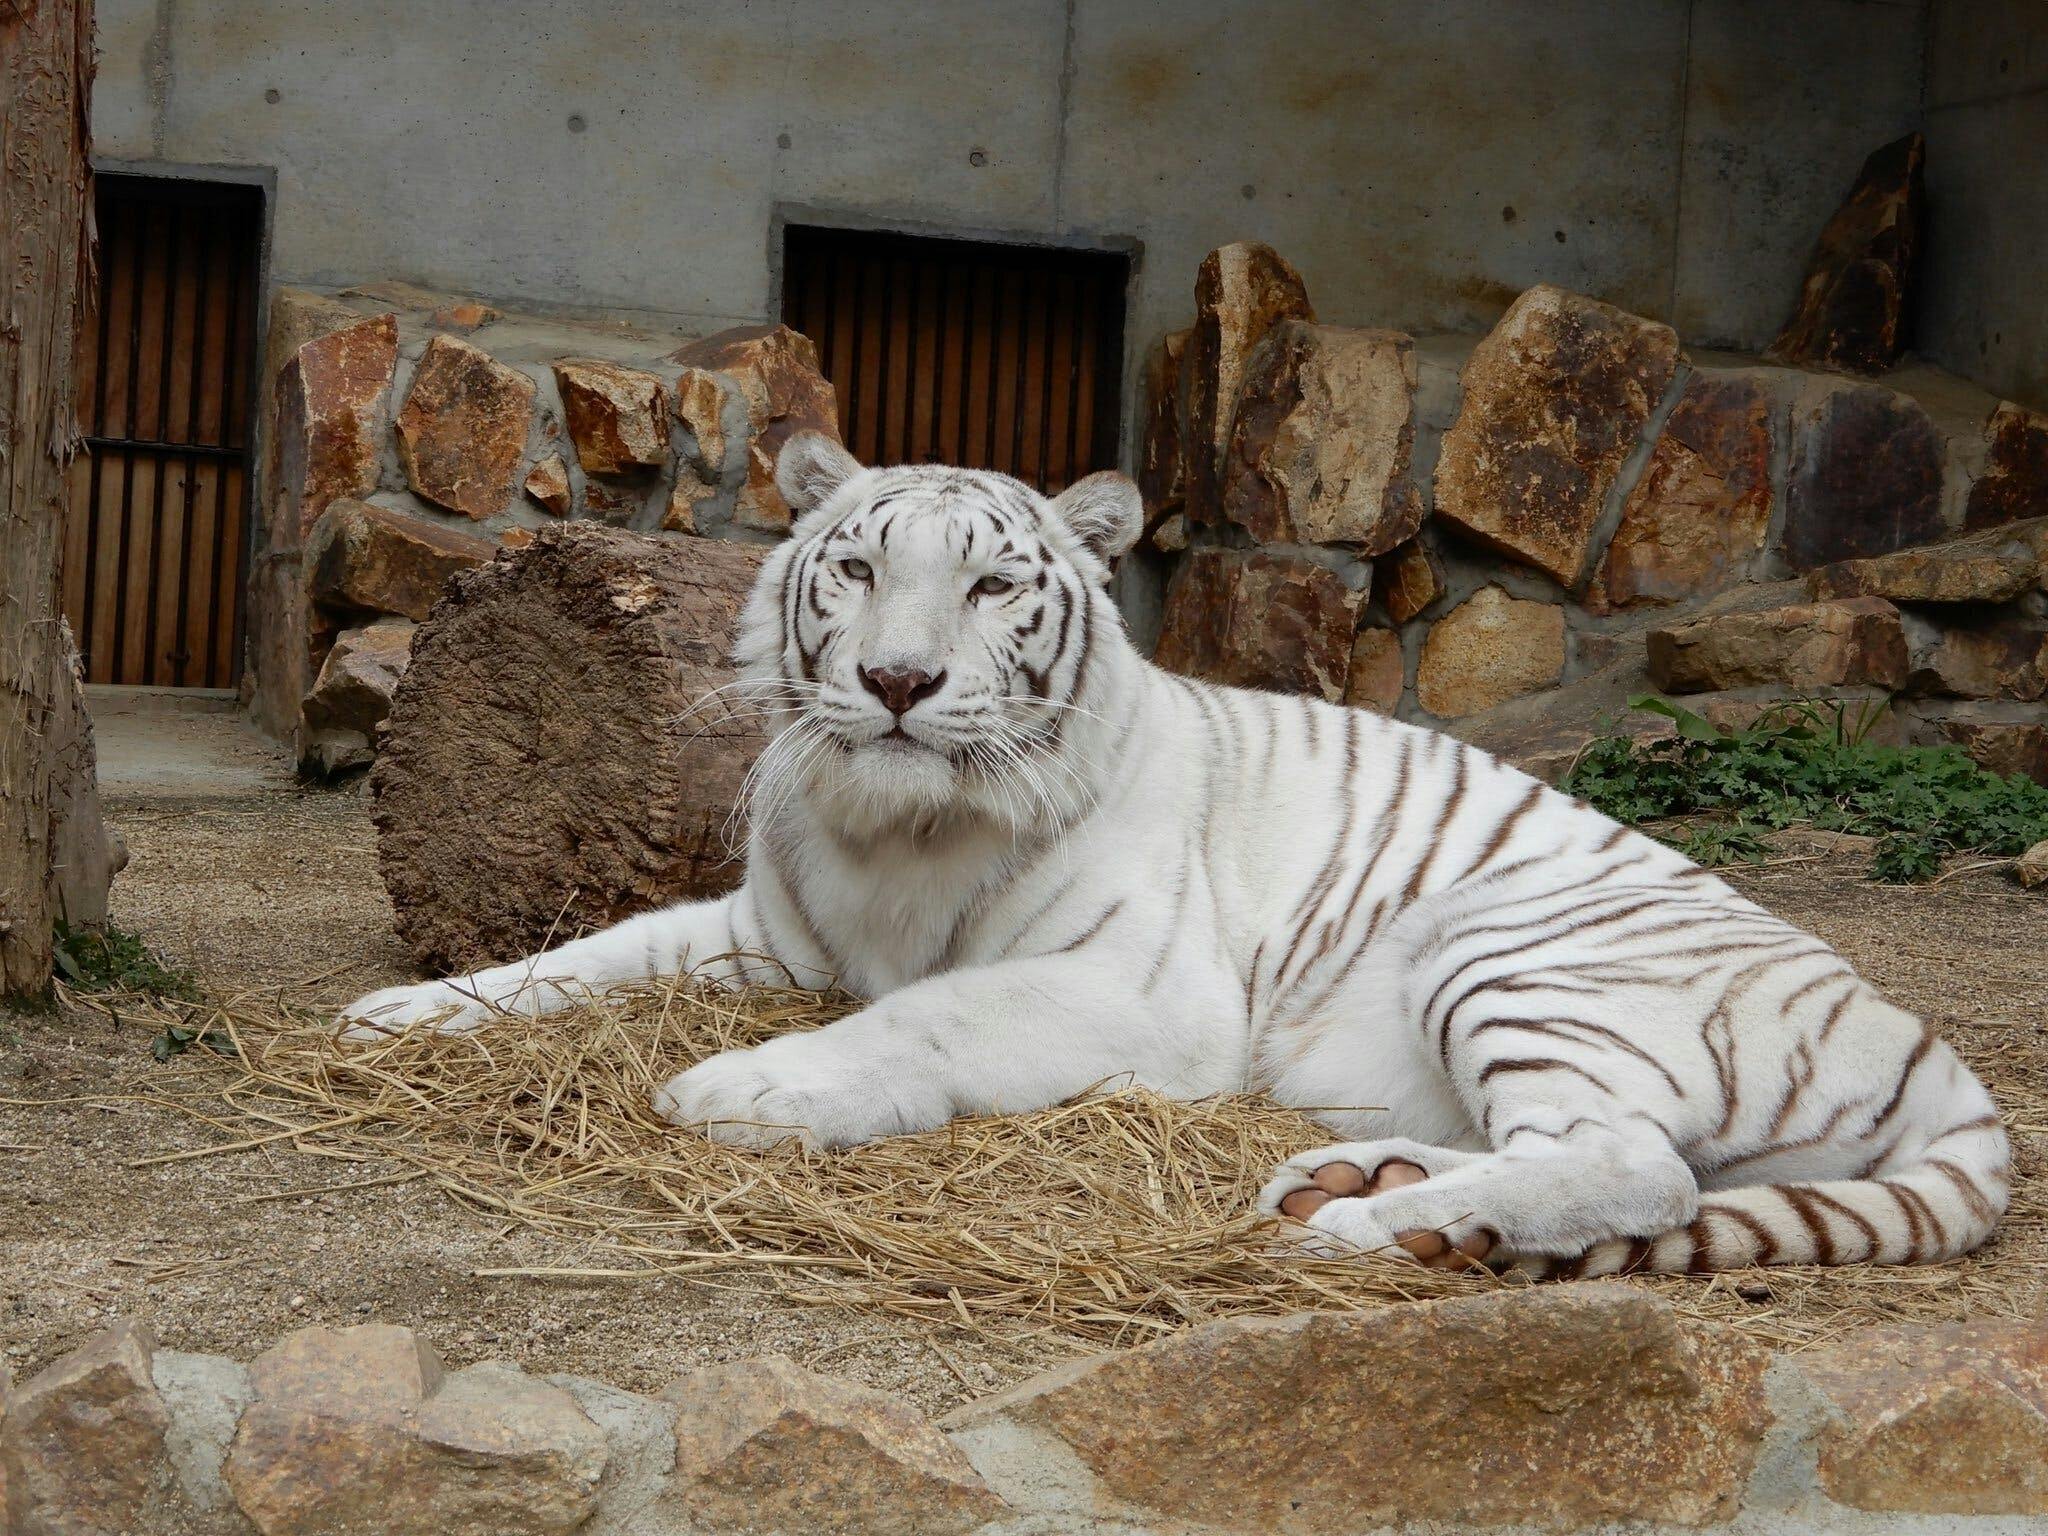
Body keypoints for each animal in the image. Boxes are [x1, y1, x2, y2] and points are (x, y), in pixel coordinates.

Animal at [344, 430, 2007, 1277]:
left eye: (993, 586)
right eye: (860, 569)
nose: (896, 682)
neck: (897, 824)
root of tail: (1940, 1053)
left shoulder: (1133, 992)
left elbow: (921, 1016)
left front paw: (744, 1090)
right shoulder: (769, 927)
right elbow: (574, 957)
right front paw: (393, 1017)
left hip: (1516, 951)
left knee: (1639, 1165)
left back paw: (1376, 1226)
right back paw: (1364, 1184)